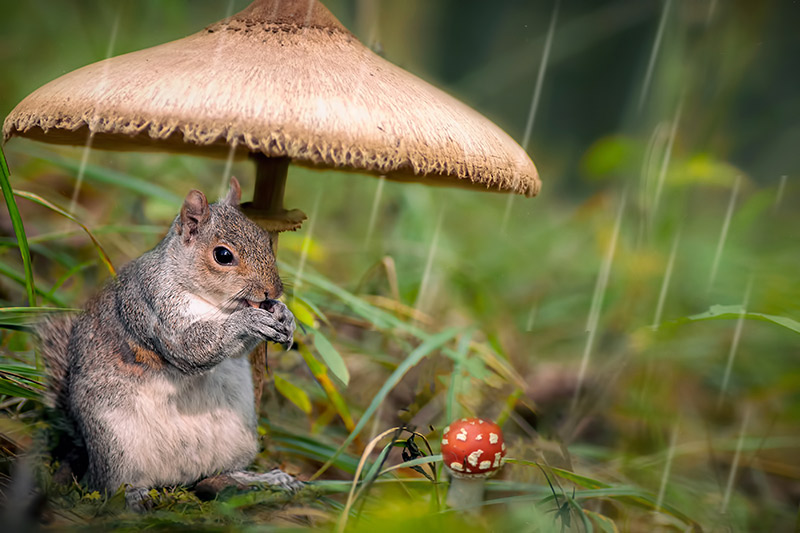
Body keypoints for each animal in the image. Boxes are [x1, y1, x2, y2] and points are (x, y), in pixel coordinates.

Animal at [37, 177, 300, 509]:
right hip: (116, 445)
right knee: (110, 486)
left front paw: (284, 314)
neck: (212, 303)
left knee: (218, 475)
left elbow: (238, 350)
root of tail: (174, 478)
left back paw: (266, 479)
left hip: (237, 439)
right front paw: (248, 320)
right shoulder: (155, 309)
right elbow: (192, 347)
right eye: (223, 255)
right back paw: (133, 497)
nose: (272, 291)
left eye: (267, 241)